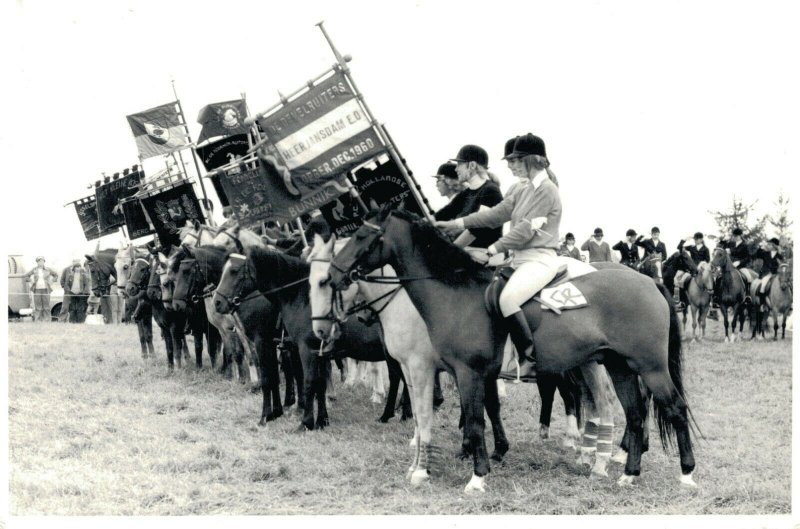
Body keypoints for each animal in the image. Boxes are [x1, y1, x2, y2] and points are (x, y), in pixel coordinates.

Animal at [170, 245, 298, 422]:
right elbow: (233, 353)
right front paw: (237, 378)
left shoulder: (246, 333)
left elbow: (247, 356)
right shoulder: (229, 330)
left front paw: (250, 383)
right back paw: (290, 401)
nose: (176, 304)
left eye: (187, 271)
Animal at [212, 243, 412, 428]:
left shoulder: (275, 344)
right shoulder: (311, 350)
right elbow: (317, 383)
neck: (300, 296)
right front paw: (319, 420)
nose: (217, 302)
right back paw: (400, 414)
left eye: (234, 271)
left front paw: (276, 418)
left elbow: (285, 380)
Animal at [328, 206, 696, 490]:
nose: (332, 275)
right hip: (619, 367)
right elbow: (475, 416)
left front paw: (476, 478)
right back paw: (629, 474)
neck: (455, 294)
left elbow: (474, 421)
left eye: (361, 237)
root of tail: (649, 282)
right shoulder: (466, 373)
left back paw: (686, 474)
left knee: (675, 408)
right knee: (635, 414)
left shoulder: (466, 373)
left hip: (649, 367)